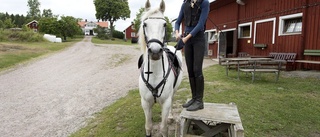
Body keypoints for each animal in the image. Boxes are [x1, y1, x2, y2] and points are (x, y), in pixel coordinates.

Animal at [137, 0, 182, 136]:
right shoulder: (145, 103)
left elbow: (163, 128)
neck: (154, 73)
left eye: (164, 24)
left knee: (172, 100)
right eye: (145, 24)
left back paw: (171, 116)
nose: (155, 52)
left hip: (174, 91)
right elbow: (148, 126)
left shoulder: (166, 103)